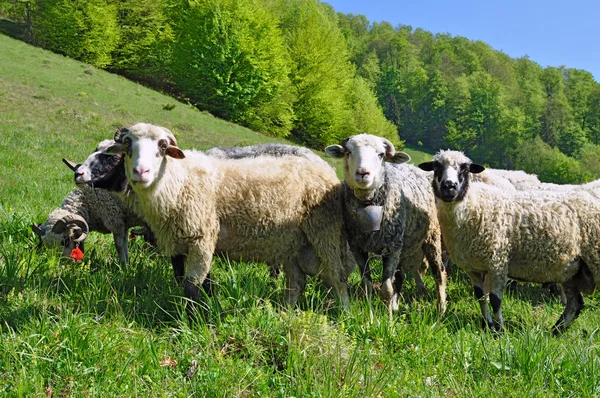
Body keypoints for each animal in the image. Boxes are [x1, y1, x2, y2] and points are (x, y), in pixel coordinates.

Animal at [98, 123, 352, 306]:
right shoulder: (182, 242)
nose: (141, 171)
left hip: (325, 234)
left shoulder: (202, 237)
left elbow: (192, 286)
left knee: (337, 278)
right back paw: (287, 312)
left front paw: (191, 321)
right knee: (296, 282)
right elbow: (193, 280)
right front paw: (209, 304)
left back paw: (344, 313)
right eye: (128, 145)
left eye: (162, 147)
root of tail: (326, 169)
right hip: (293, 244)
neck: (179, 180)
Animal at [324, 134, 446, 314]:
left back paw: (441, 309)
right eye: (349, 152)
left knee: (439, 273)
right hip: (403, 243)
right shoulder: (357, 247)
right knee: (400, 275)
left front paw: (388, 318)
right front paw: (370, 312)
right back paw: (396, 305)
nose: (363, 173)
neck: (369, 204)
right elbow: (367, 284)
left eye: (381, 154)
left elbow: (386, 289)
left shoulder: (392, 247)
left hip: (431, 236)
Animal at [418, 149, 600, 332]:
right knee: (575, 304)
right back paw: (555, 331)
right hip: (571, 271)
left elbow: (495, 300)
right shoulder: (473, 268)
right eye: (436, 167)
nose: (449, 187)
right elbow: (480, 297)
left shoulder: (498, 261)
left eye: (465, 168)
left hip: (594, 260)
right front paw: (488, 324)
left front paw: (499, 330)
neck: (474, 207)